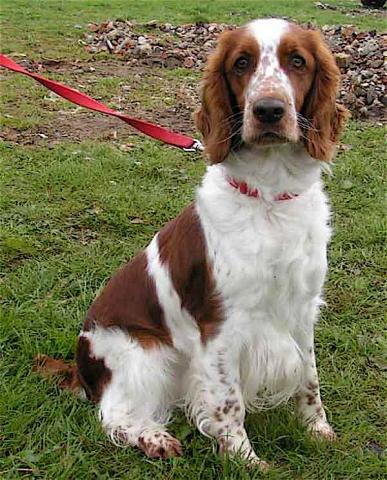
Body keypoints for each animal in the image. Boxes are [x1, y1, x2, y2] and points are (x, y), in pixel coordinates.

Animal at [38, 18, 350, 468]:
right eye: (241, 63)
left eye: (297, 61)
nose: (268, 110)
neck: (270, 196)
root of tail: (81, 367)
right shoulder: (220, 326)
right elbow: (229, 402)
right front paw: (244, 460)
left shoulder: (301, 311)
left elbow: (309, 378)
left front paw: (318, 431)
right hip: (144, 353)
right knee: (113, 413)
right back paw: (153, 438)